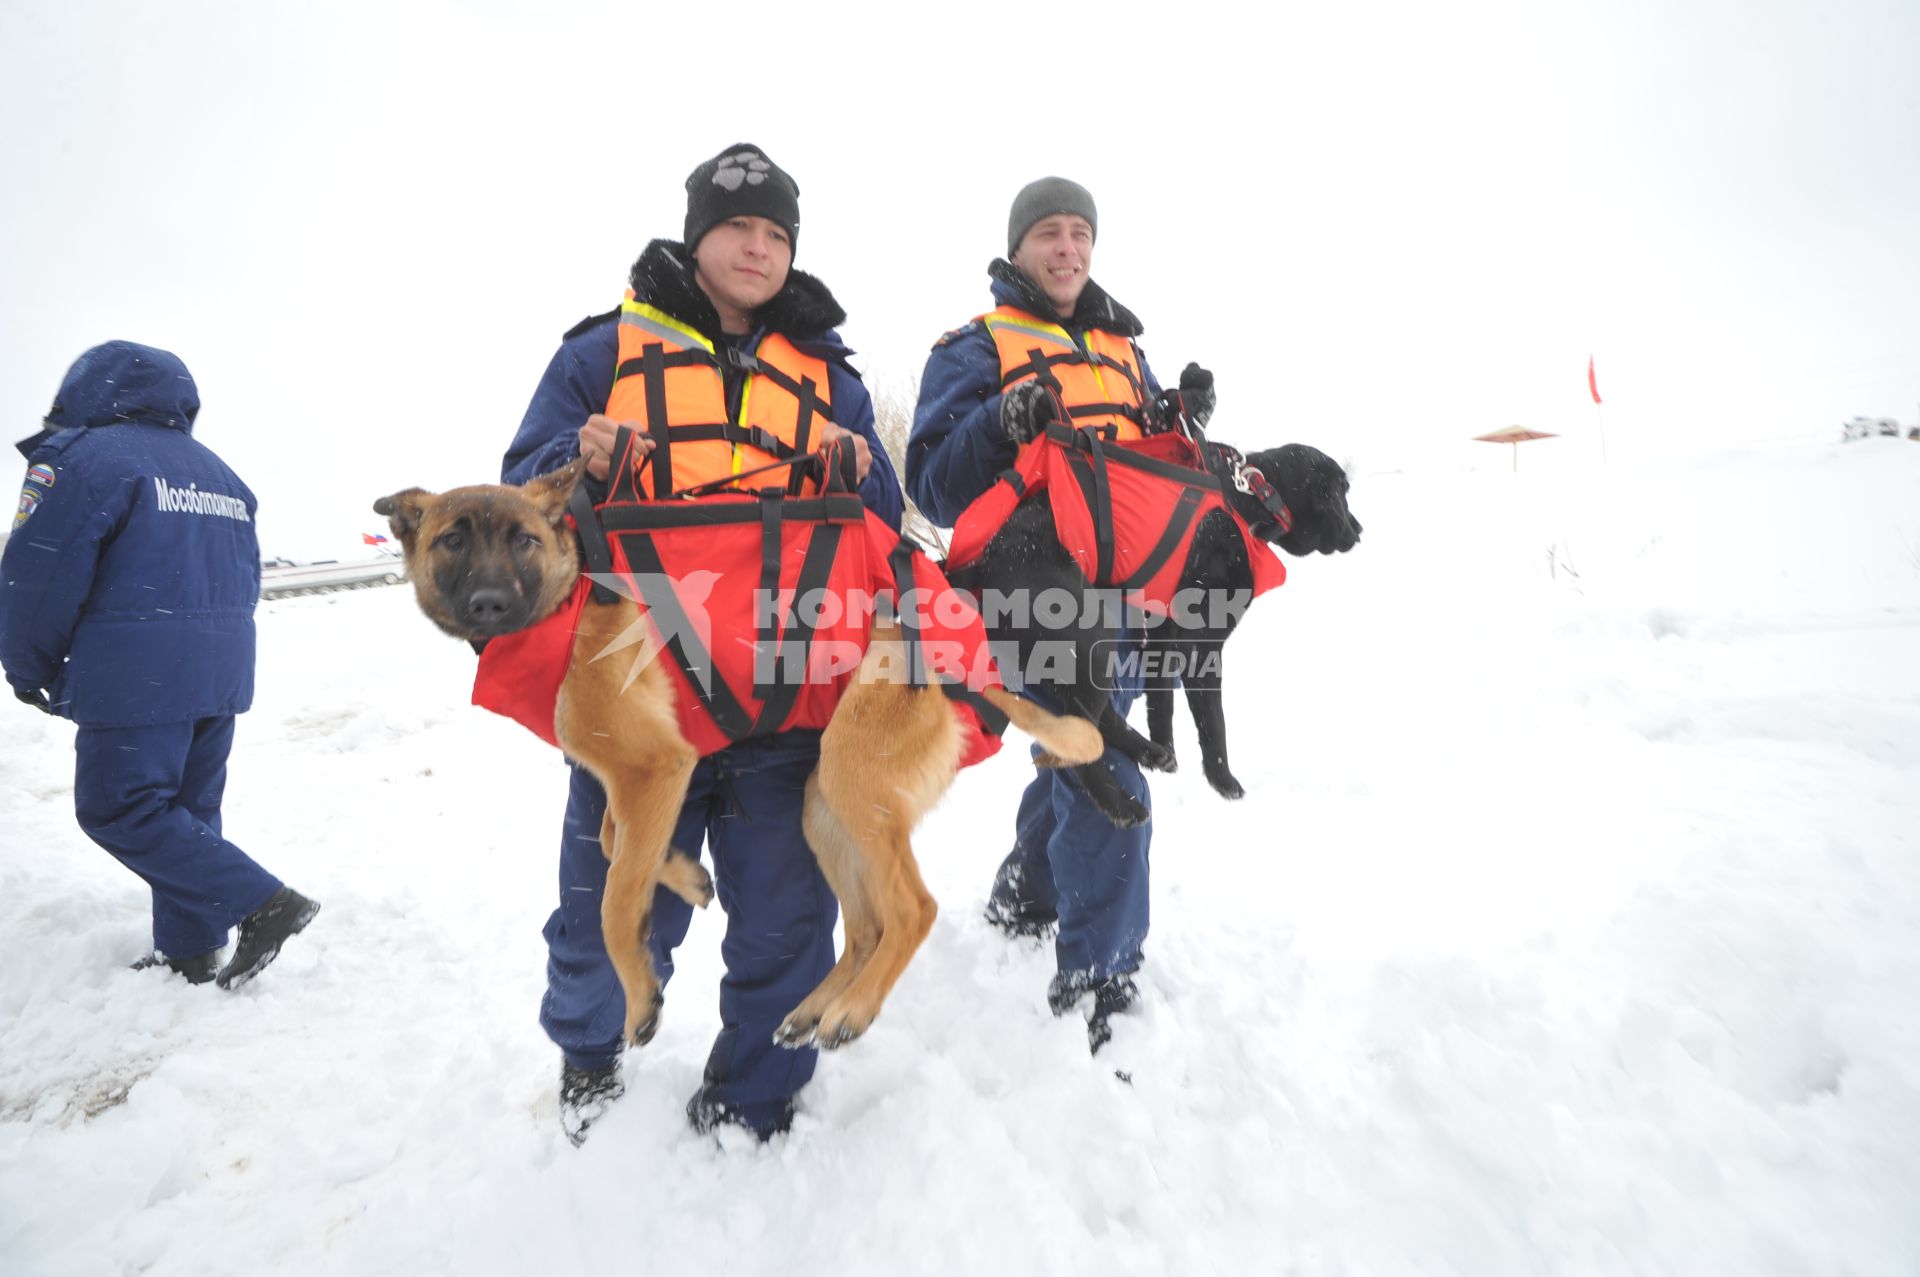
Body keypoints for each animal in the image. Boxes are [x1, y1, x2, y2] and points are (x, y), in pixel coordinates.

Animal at [378, 462, 1098, 1052]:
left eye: (523, 539)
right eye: (452, 540)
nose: (489, 603)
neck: (572, 593)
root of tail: (976, 674)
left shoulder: (652, 768)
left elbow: (613, 903)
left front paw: (639, 999)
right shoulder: (639, 779)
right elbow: (613, 839)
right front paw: (682, 875)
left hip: (852, 777)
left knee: (913, 910)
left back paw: (855, 1010)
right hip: (824, 809)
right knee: (866, 927)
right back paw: (815, 1007)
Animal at [940, 435, 1351, 818]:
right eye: (1343, 496)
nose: (1358, 530)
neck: (1251, 499)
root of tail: (986, 561)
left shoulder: (1161, 635)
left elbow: (1161, 702)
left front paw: (1166, 747)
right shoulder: (1202, 647)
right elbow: (1214, 723)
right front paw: (1225, 783)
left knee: (1098, 721)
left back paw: (1151, 753)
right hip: (1090, 639)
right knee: (1079, 743)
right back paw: (1122, 807)